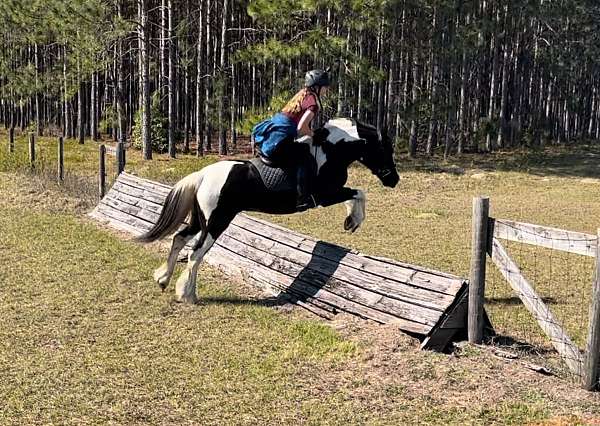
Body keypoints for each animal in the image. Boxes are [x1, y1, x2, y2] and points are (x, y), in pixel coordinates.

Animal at [137, 116, 398, 302]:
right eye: (385, 149)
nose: (394, 180)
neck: (329, 151)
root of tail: (202, 175)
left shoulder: (332, 193)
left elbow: (355, 194)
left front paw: (350, 221)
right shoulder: (325, 195)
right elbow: (359, 193)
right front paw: (354, 220)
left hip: (199, 220)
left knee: (179, 239)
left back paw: (163, 279)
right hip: (217, 221)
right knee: (196, 252)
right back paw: (187, 295)